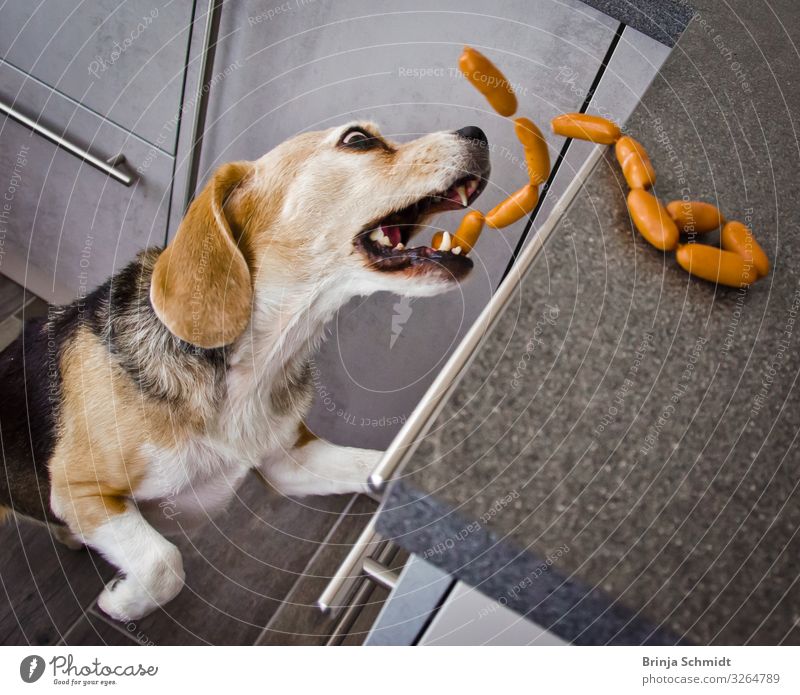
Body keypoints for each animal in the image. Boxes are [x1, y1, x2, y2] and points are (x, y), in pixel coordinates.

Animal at [0, 122, 488, 624]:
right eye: (357, 140)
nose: (479, 131)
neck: (258, 362)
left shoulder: (288, 460)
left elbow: (368, 464)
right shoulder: (79, 490)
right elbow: (164, 563)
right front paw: (121, 603)